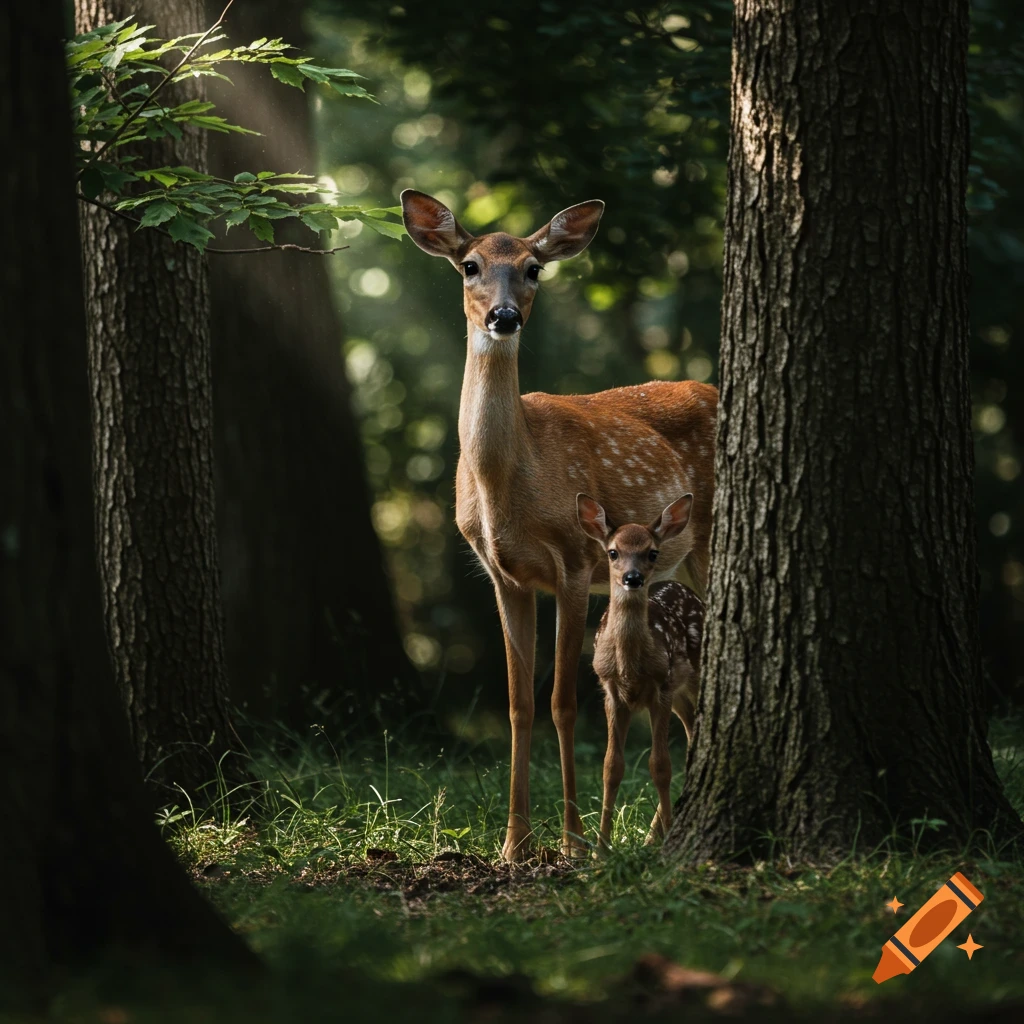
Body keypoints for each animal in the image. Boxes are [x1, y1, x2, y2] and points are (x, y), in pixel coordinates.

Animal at [577, 493, 704, 849]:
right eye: (613, 552)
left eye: (652, 552)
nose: (632, 578)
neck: (629, 666)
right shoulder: (610, 692)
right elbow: (611, 767)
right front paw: (601, 848)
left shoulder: (661, 686)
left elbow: (659, 765)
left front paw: (665, 839)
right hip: (679, 696)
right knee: (692, 739)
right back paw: (650, 836)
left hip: (690, 678)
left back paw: (655, 835)